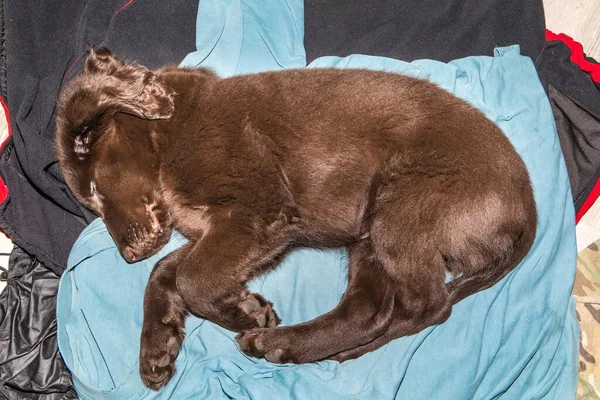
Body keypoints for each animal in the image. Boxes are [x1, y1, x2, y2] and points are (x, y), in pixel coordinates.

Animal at [55, 48, 536, 390]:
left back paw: (279, 342)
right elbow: (167, 271)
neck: (165, 132)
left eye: (96, 190)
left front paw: (247, 314)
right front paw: (158, 348)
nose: (128, 256)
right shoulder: (230, 232)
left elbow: (192, 279)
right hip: (369, 233)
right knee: (368, 310)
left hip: (402, 209)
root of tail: (526, 206)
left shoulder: (258, 211)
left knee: (429, 306)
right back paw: (291, 347)